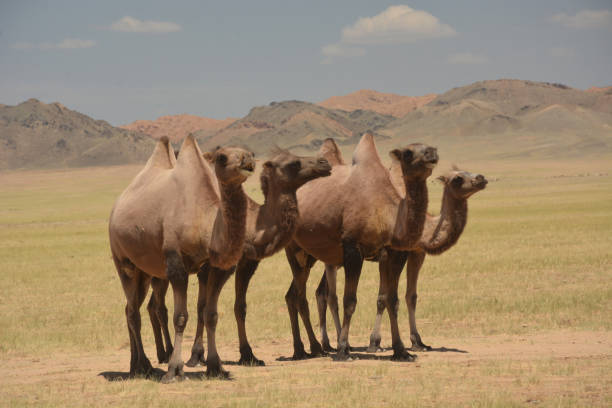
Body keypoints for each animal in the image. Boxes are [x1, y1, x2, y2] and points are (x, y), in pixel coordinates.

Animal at [109, 135, 255, 380]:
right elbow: (180, 317)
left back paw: (136, 365)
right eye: (222, 157)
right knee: (133, 311)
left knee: (131, 308)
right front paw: (174, 370)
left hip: (145, 272)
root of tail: (116, 207)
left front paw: (215, 366)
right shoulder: (176, 263)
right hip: (122, 261)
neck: (202, 218)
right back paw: (142, 366)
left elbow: (210, 314)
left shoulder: (216, 268)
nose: (248, 160)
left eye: (251, 152)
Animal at [146, 148, 332, 368]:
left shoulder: (247, 262)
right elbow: (202, 307)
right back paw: (166, 354)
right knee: (159, 306)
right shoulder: (209, 266)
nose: (324, 163)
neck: (251, 223)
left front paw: (248, 354)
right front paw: (196, 356)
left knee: (153, 305)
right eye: (294, 163)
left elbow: (239, 306)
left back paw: (163, 353)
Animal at [284, 134, 438, 360]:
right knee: (304, 295)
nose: (432, 153)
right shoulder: (359, 250)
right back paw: (310, 348)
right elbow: (356, 300)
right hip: (297, 250)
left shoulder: (400, 253)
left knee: (299, 294)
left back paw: (313, 346)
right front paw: (355, 347)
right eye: (409, 153)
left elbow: (397, 298)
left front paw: (406, 347)